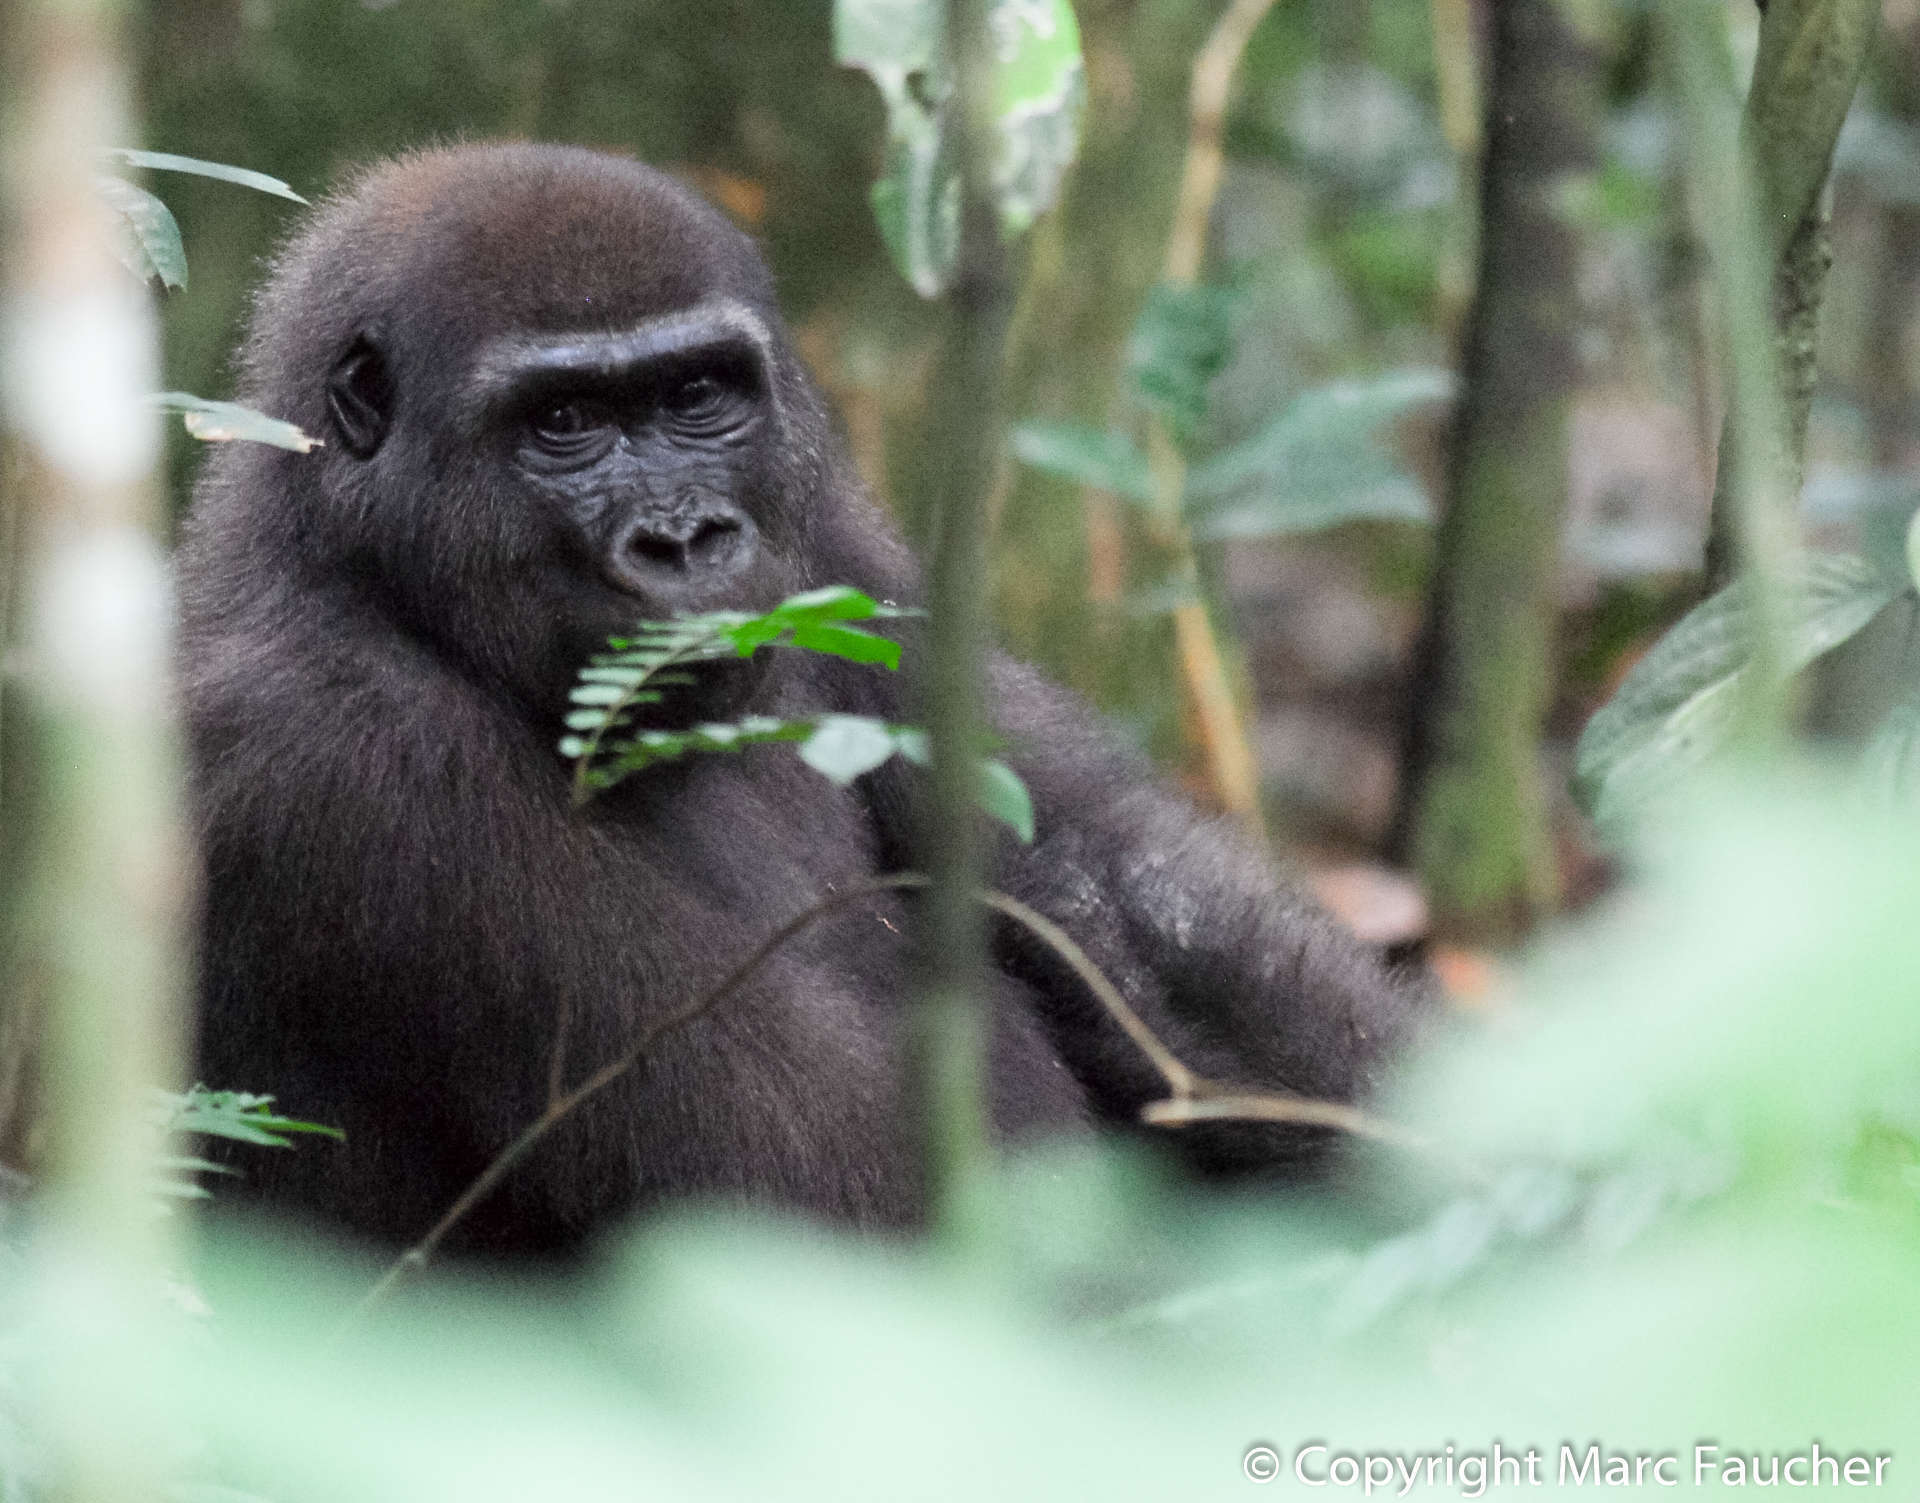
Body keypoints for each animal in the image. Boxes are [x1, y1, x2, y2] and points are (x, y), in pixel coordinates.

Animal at [176, 143, 1428, 1259]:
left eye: (696, 395)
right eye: (563, 423)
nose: (687, 541)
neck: (354, 562)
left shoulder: (829, 538)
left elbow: (1111, 891)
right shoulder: (344, 749)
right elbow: (864, 1202)